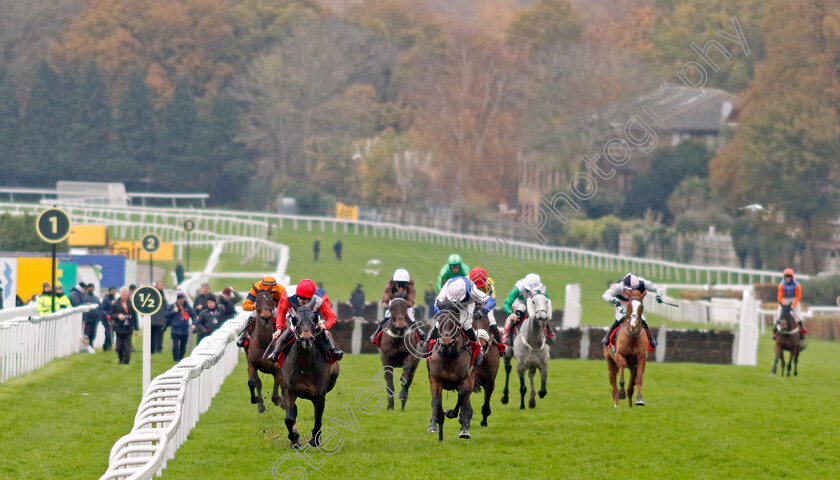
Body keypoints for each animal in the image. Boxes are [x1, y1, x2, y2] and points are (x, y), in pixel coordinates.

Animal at [282, 302, 342, 448]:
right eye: (295, 320)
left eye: (314, 319)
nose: (307, 339)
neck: (306, 366)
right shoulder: (289, 390)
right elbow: (289, 418)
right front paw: (294, 437)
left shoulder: (320, 395)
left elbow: (318, 418)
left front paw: (315, 439)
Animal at [426, 306, 472, 440]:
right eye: (439, 321)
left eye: (455, 322)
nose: (446, 342)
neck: (449, 355)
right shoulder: (435, 379)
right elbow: (436, 401)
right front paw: (435, 424)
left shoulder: (467, 379)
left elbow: (462, 397)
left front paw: (450, 413)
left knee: (465, 401)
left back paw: (464, 428)